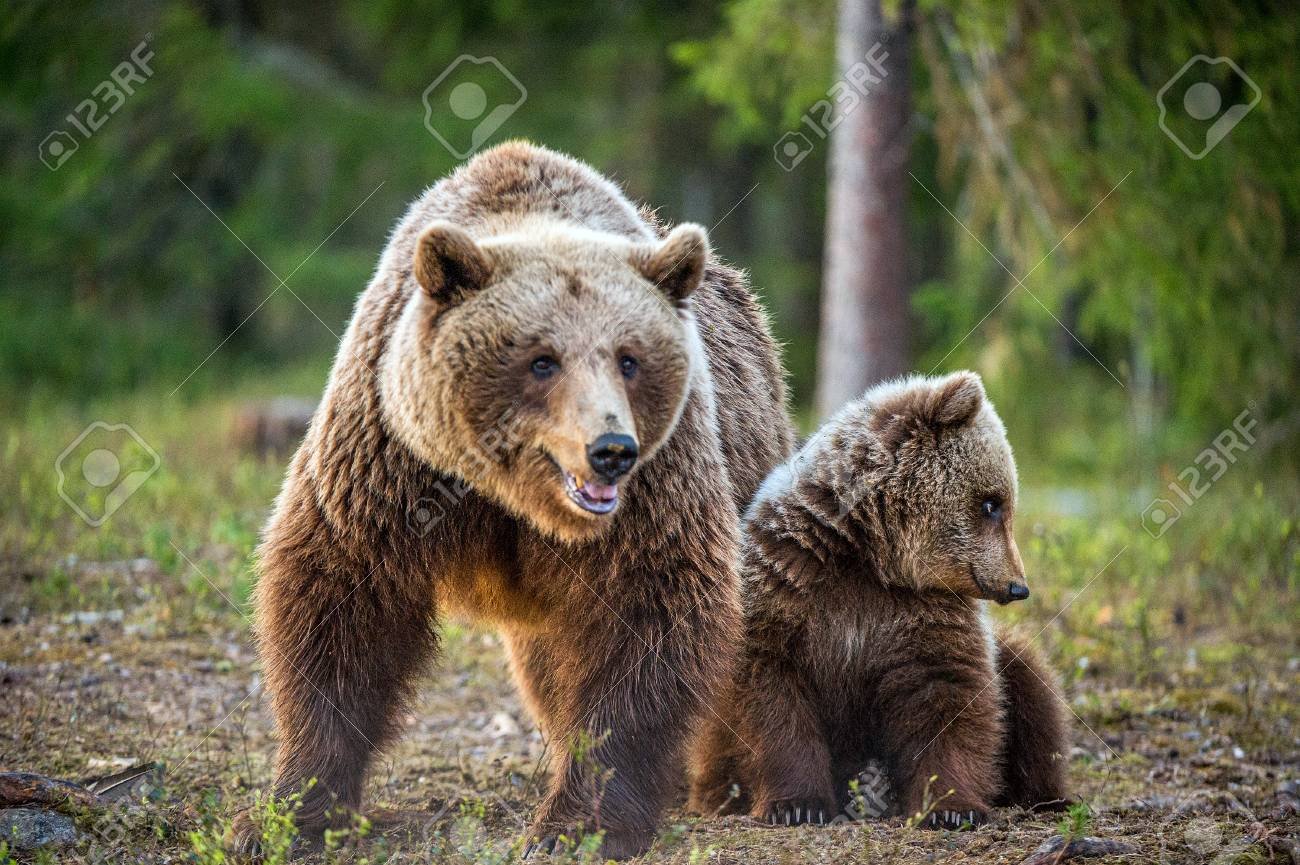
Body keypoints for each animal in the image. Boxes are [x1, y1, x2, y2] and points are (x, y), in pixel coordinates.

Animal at [238, 141, 794, 858]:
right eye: (542, 359)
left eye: (629, 357)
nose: (611, 449)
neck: (513, 498)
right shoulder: (388, 460)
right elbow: (340, 605)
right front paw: (289, 812)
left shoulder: (656, 491)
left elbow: (650, 617)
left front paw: (576, 821)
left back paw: (726, 781)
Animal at [688, 371, 1068, 829]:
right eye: (991, 503)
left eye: (1002, 502)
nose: (1017, 586)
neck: (869, 556)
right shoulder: (785, 585)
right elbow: (768, 699)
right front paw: (796, 804)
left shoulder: (924, 613)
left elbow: (948, 694)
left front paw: (950, 807)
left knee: (1030, 683)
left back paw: (1046, 797)